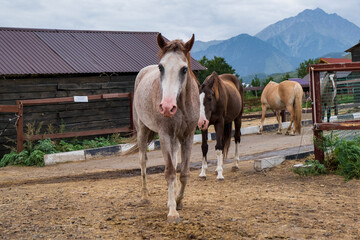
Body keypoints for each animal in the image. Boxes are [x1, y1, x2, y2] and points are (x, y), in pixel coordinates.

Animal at [129, 33, 201, 223]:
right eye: (161, 67)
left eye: (184, 69)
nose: (167, 107)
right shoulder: (165, 135)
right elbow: (169, 172)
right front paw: (172, 212)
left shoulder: (188, 136)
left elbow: (183, 173)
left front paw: (178, 201)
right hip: (143, 131)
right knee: (143, 161)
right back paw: (145, 197)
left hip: (175, 139)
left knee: (174, 163)